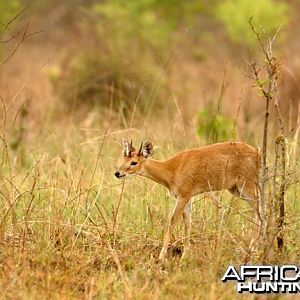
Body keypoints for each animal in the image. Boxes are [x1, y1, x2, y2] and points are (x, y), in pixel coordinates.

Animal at [115, 139, 260, 262]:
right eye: (124, 158)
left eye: (134, 162)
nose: (117, 173)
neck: (171, 170)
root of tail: (257, 152)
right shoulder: (188, 198)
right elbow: (188, 223)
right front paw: (185, 255)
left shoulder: (182, 197)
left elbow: (172, 222)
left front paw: (161, 256)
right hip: (235, 189)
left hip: (247, 186)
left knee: (259, 212)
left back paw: (252, 248)